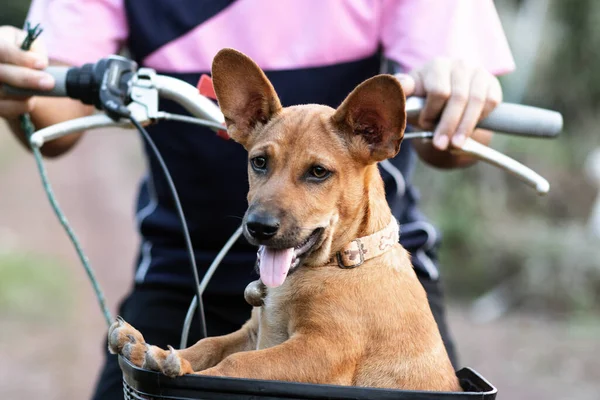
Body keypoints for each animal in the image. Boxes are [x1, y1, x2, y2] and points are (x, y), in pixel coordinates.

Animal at [109, 47, 460, 390]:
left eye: (318, 172)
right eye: (259, 162)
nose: (258, 227)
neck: (346, 257)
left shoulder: (322, 349)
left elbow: (236, 365)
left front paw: (175, 365)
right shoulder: (254, 332)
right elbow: (209, 345)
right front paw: (151, 352)